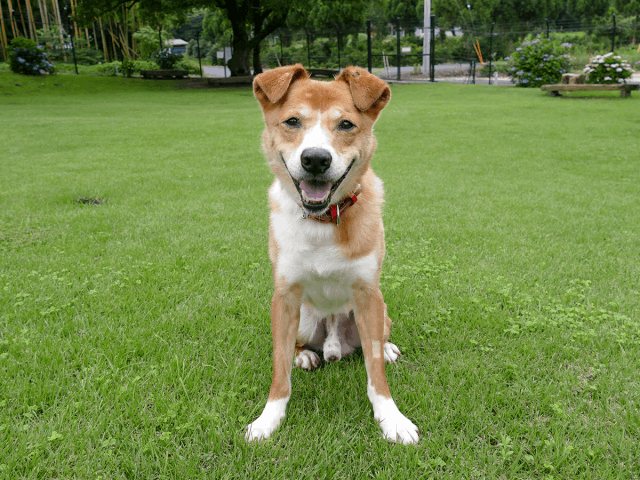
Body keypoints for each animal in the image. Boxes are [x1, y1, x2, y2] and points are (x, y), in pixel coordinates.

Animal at [245, 65, 420, 444]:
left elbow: (375, 371)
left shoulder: (368, 294)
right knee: (298, 347)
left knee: (375, 344)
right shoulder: (284, 297)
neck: (322, 221)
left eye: (346, 125)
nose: (315, 159)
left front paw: (392, 418)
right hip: (304, 320)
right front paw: (269, 419)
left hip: (380, 313)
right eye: (292, 121)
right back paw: (306, 358)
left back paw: (386, 349)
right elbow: (279, 369)